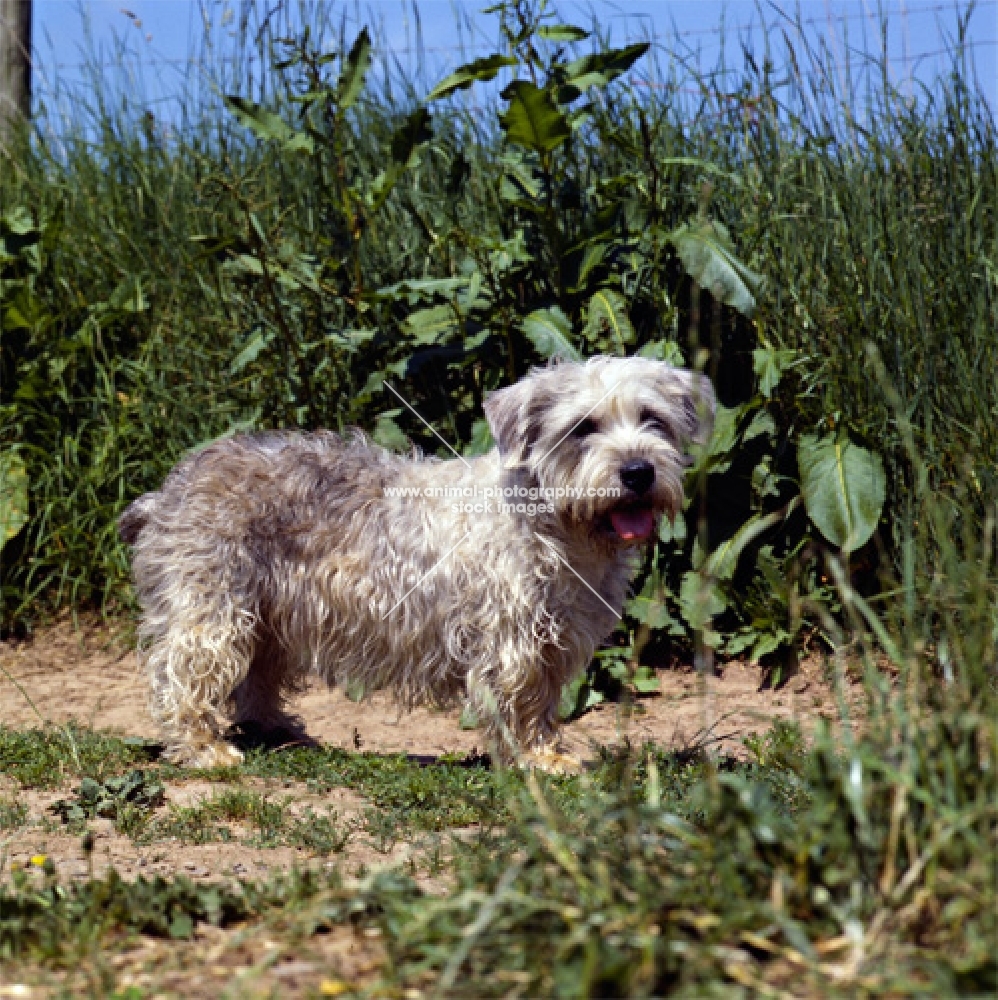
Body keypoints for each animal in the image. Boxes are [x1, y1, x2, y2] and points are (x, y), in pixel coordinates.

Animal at [121, 360, 716, 772]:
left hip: (267, 617)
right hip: (213, 608)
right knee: (181, 675)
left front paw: (544, 751)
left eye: (653, 419)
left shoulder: (555, 640)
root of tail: (166, 490)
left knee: (253, 682)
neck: (557, 526)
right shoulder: (513, 641)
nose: (638, 471)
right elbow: (522, 701)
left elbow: (544, 701)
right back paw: (203, 748)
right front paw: (537, 760)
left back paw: (280, 731)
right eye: (583, 428)